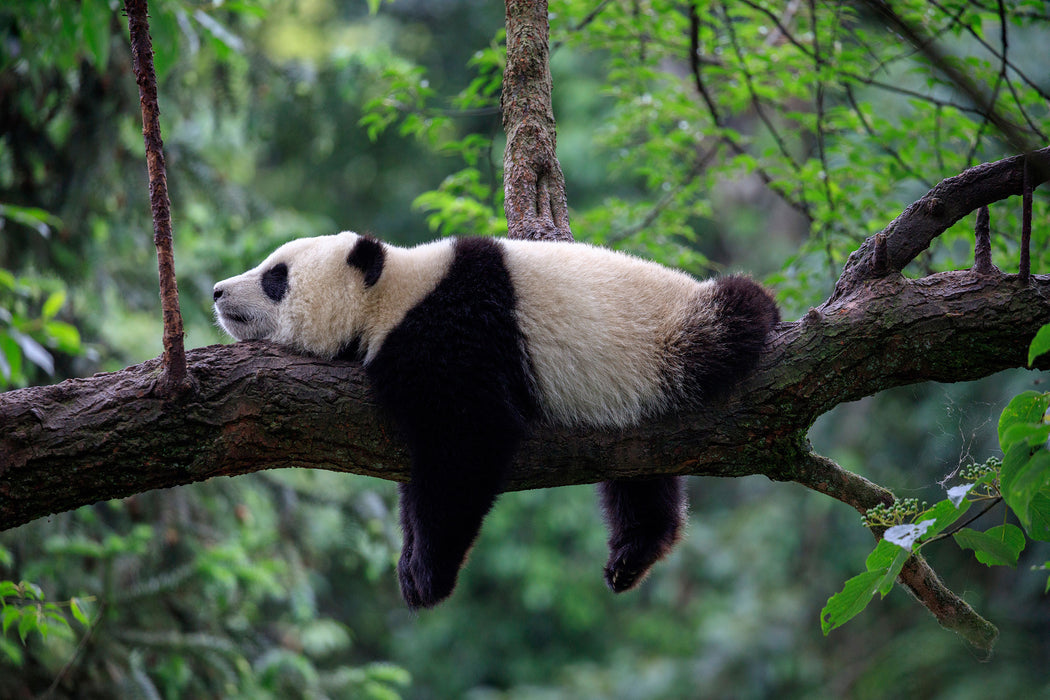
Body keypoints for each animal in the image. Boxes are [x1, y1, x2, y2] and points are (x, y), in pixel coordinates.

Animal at [213, 232, 781, 608]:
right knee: (639, 475)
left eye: (275, 277)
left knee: (733, 315)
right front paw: (409, 561)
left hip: (671, 336)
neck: (393, 293)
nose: (218, 291)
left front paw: (427, 575)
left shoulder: (455, 334)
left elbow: (468, 445)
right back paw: (633, 553)